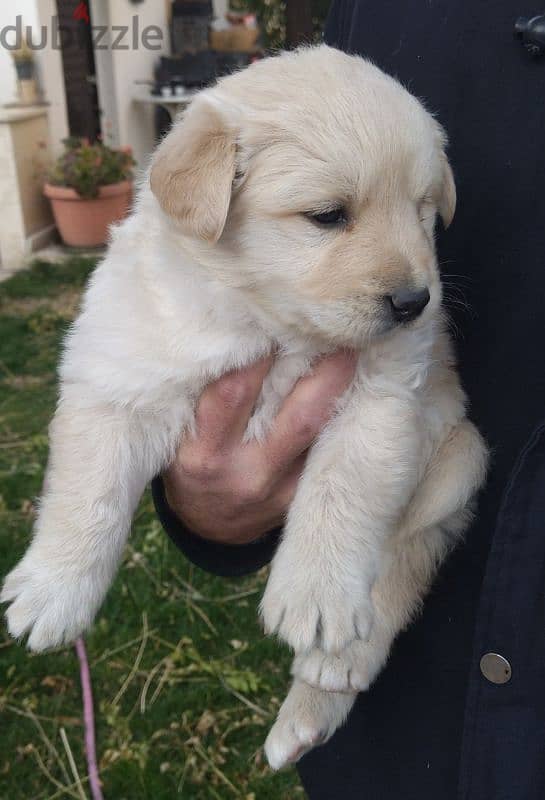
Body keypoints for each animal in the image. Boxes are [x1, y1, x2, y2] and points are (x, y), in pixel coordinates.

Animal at [0, 43, 484, 768]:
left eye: (423, 210)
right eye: (327, 215)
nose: (413, 303)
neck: (267, 322)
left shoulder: (384, 401)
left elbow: (339, 494)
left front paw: (315, 597)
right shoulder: (117, 378)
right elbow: (87, 497)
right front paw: (52, 591)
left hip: (454, 463)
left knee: (397, 572)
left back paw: (324, 679)